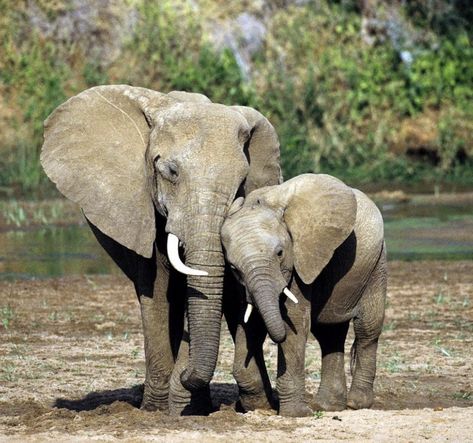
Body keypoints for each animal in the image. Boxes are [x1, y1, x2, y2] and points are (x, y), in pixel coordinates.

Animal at [41, 85, 280, 414]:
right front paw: (158, 409)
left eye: (242, 181)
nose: (187, 373)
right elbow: (155, 288)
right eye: (171, 172)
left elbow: (230, 289)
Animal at [220, 173, 384, 416]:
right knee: (329, 334)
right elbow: (249, 323)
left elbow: (295, 325)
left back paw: (356, 404)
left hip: (376, 264)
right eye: (233, 267)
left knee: (367, 329)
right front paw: (259, 407)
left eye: (280, 253)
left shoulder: (300, 261)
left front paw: (295, 414)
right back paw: (329, 406)